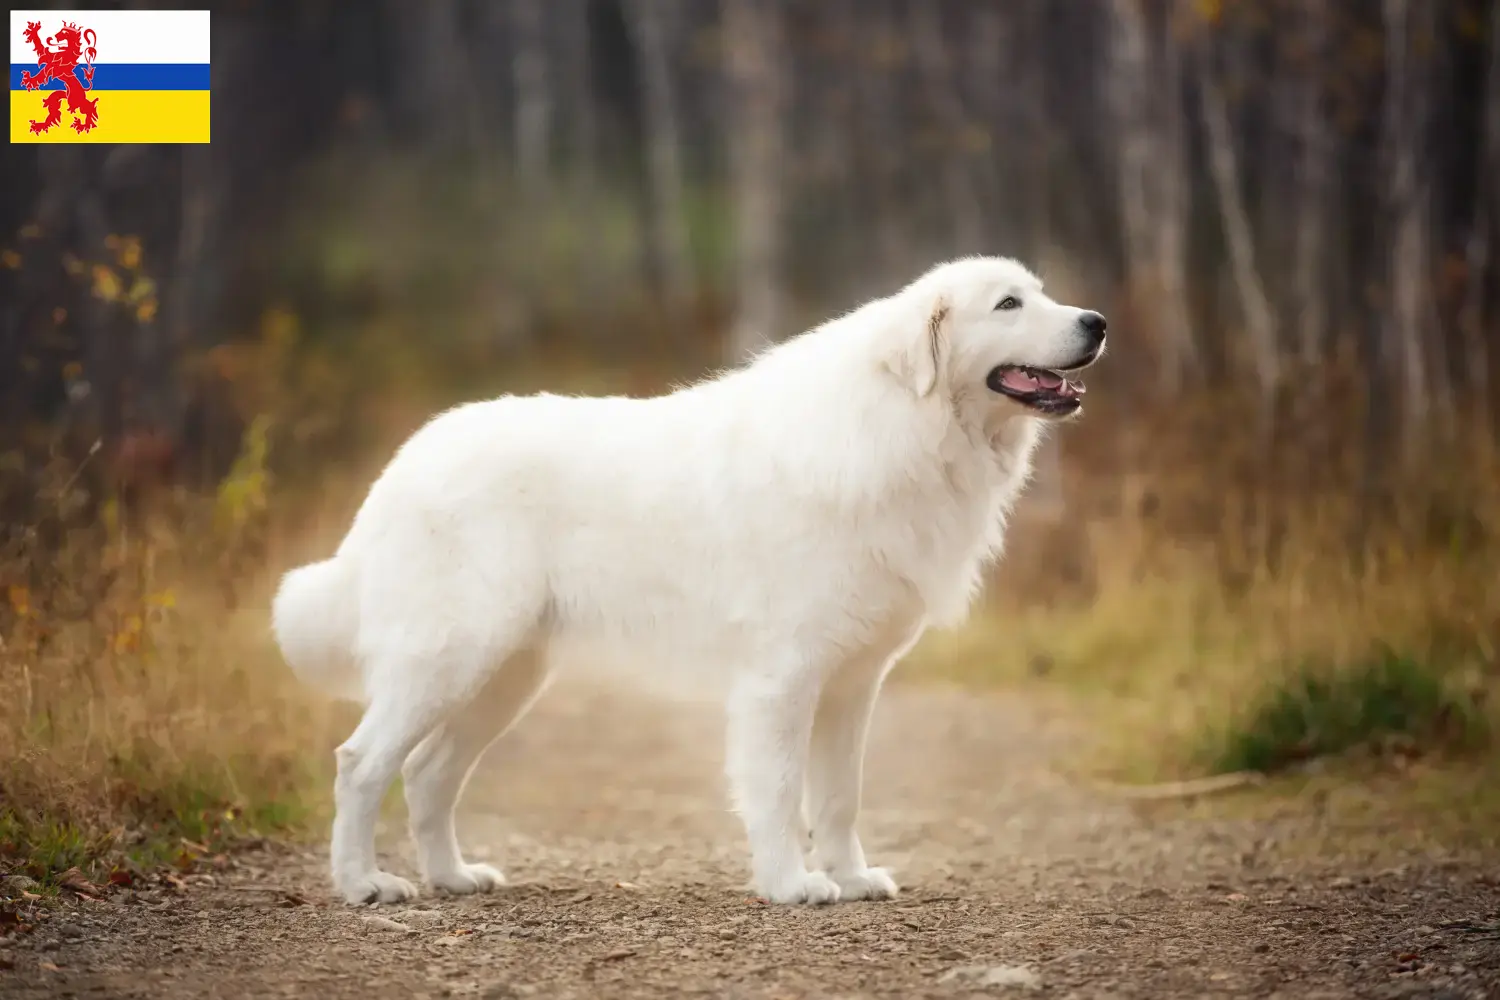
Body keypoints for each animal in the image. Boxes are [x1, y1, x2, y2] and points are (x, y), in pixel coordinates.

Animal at [276, 257, 1110, 905]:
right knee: (362, 764)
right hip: (450, 657)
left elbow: (839, 796)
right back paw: (364, 885)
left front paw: (852, 878)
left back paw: (453, 877)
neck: (906, 425)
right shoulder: (783, 676)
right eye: (1008, 304)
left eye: (1040, 292)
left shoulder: (853, 681)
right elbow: (780, 789)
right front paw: (793, 886)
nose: (1098, 321)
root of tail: (407, 457)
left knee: (427, 774)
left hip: (504, 676)